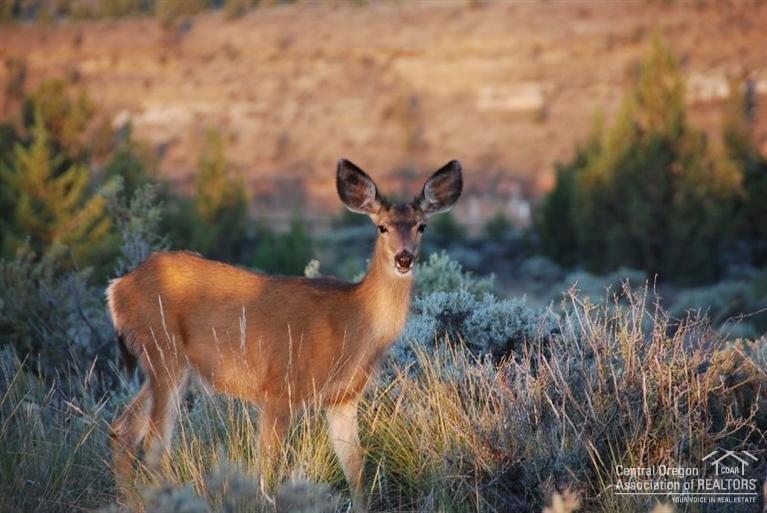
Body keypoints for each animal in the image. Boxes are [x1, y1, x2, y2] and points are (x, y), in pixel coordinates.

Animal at [107, 159, 463, 511]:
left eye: (422, 226)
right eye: (382, 227)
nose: (404, 258)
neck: (352, 321)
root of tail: (117, 288)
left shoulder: (343, 398)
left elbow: (357, 472)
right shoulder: (279, 386)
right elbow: (267, 469)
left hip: (163, 366)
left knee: (122, 430)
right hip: (164, 353)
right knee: (154, 445)